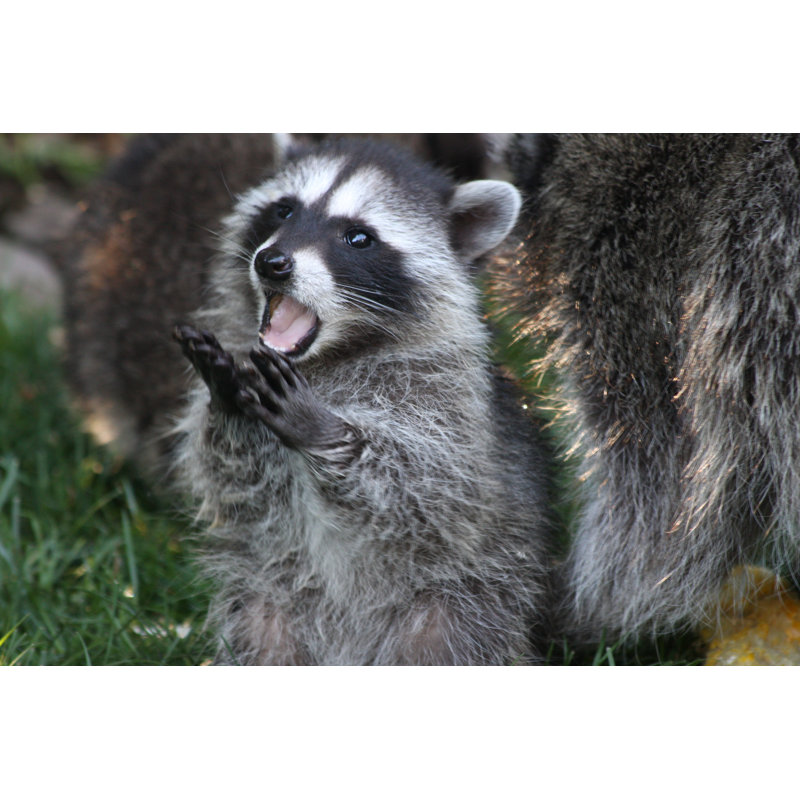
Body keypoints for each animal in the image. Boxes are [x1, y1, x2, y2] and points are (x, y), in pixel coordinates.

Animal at [166, 137, 553, 665]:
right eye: (284, 210)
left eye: (358, 238)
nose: (272, 263)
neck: (326, 357)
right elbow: (233, 482)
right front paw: (228, 401)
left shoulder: (451, 405)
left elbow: (430, 493)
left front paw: (324, 431)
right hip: (268, 599)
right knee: (259, 632)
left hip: (464, 602)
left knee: (453, 638)